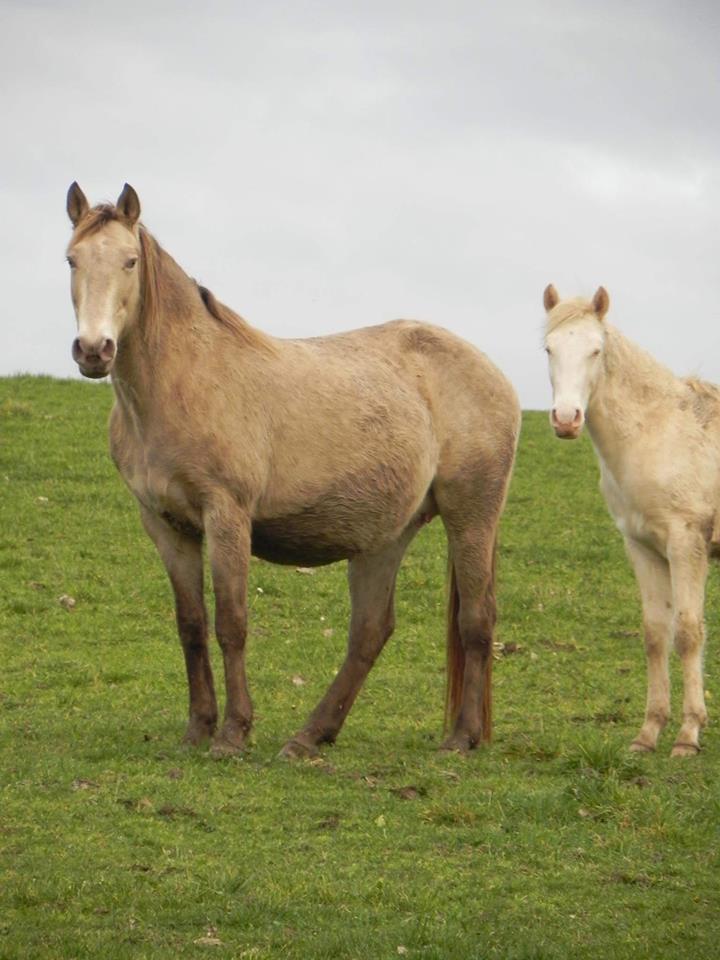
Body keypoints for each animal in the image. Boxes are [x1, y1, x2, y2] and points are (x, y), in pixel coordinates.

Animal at [64, 182, 520, 756]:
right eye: (71, 259)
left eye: (129, 261)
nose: (93, 350)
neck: (183, 382)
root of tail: (495, 374)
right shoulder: (166, 525)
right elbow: (191, 624)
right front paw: (197, 729)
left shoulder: (227, 516)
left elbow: (231, 622)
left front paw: (233, 734)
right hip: (386, 537)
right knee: (370, 632)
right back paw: (310, 737)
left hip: (472, 517)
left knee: (476, 620)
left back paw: (461, 737)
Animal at [544, 284, 716, 756]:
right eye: (548, 348)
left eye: (595, 350)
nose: (566, 419)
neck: (658, 433)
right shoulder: (641, 546)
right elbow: (656, 634)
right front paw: (649, 733)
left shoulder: (686, 543)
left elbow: (688, 632)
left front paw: (688, 735)